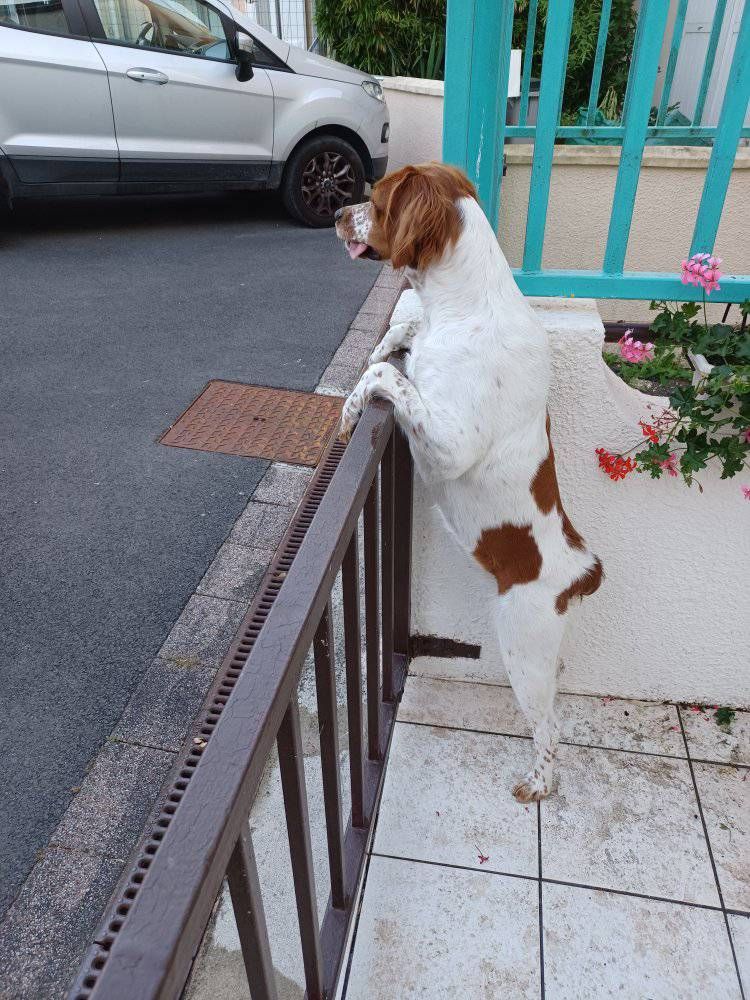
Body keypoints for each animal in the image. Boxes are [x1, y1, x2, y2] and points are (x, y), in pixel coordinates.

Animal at [336, 166, 604, 804]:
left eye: (375, 199)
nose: (335, 213)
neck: (459, 306)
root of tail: (581, 572)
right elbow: (397, 336)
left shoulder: (452, 443)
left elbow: (384, 375)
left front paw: (351, 409)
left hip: (521, 646)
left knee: (549, 727)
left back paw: (538, 784)